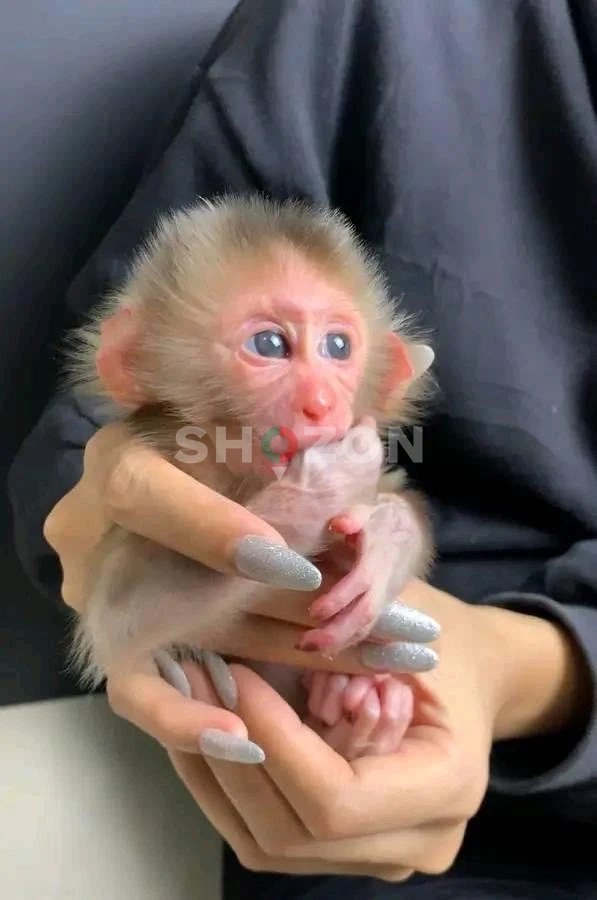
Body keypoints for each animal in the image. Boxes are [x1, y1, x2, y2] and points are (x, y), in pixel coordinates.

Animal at [64, 194, 438, 761]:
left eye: (337, 347)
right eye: (270, 344)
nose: (321, 403)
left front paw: (386, 540)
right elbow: (120, 619)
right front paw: (317, 487)